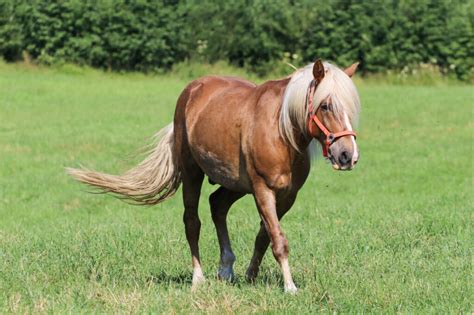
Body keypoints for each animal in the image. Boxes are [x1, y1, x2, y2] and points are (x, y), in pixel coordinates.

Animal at [68, 58, 362, 294]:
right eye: (325, 106)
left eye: (350, 108)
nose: (347, 155)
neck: (281, 131)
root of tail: (192, 89)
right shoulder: (262, 189)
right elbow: (278, 239)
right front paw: (290, 287)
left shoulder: (287, 195)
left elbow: (265, 235)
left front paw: (251, 276)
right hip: (192, 173)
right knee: (192, 221)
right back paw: (198, 279)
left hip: (235, 184)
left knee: (217, 205)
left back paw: (227, 269)